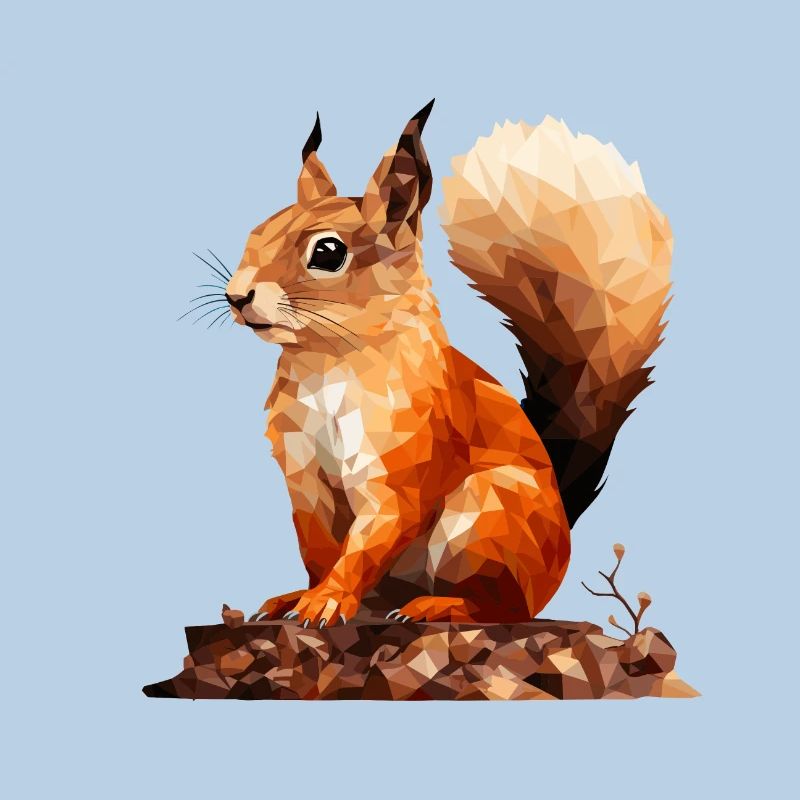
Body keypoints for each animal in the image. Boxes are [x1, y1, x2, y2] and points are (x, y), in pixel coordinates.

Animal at [221, 99, 672, 627]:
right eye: (256, 231)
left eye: (328, 253)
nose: (236, 296)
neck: (328, 364)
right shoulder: (304, 478)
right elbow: (318, 549)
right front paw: (305, 595)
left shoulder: (404, 463)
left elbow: (370, 538)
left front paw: (327, 599)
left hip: (484, 520)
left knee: (503, 608)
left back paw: (438, 605)